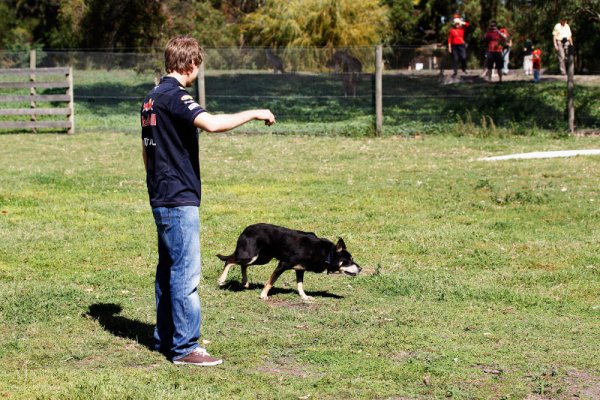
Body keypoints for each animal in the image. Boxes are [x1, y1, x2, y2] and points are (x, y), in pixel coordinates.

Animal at [217, 223, 360, 298]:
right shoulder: (282, 264)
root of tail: (246, 229)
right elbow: (271, 281)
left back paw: (245, 282)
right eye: (348, 261)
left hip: (262, 258)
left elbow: (300, 285)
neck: (326, 254)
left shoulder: (300, 269)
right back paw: (222, 279)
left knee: (242, 265)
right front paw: (263, 295)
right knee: (229, 261)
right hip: (250, 256)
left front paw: (304, 297)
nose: (360, 268)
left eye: (352, 259)